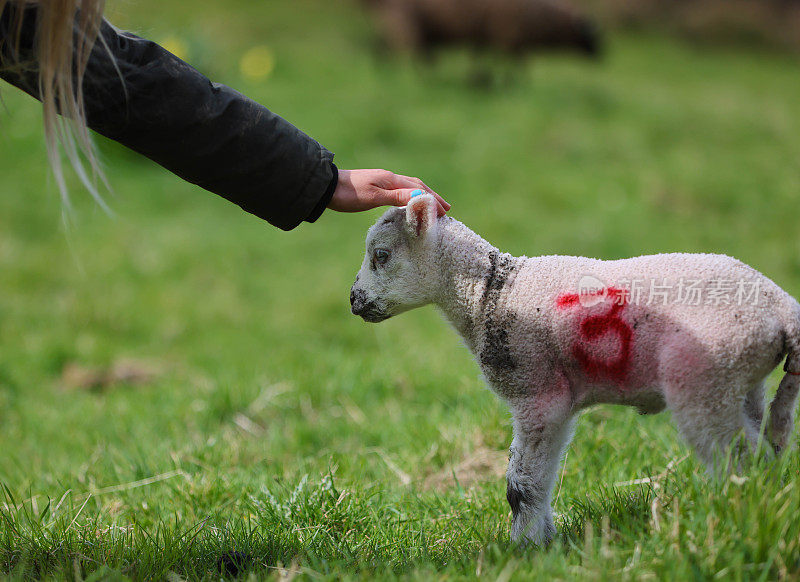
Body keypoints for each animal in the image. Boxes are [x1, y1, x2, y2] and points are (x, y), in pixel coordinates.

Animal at [350, 196, 800, 548]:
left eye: (381, 255)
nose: (354, 301)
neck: (491, 292)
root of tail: (783, 309)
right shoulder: (560, 402)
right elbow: (542, 478)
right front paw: (544, 541)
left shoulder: (536, 391)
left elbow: (521, 484)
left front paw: (523, 549)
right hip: (741, 378)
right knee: (764, 445)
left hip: (702, 379)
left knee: (742, 460)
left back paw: (732, 519)